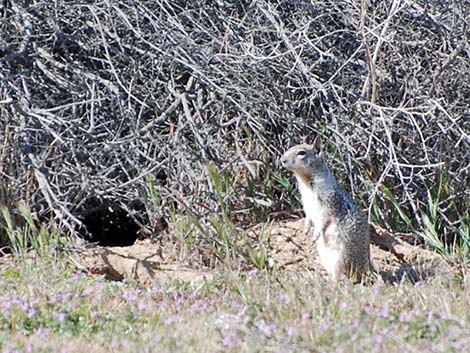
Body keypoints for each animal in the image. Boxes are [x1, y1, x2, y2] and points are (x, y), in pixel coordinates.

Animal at [282, 142, 370, 280]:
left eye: (302, 152)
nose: (282, 160)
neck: (306, 181)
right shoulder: (307, 204)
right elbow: (308, 215)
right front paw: (306, 228)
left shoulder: (328, 203)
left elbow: (323, 219)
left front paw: (316, 234)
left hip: (341, 257)